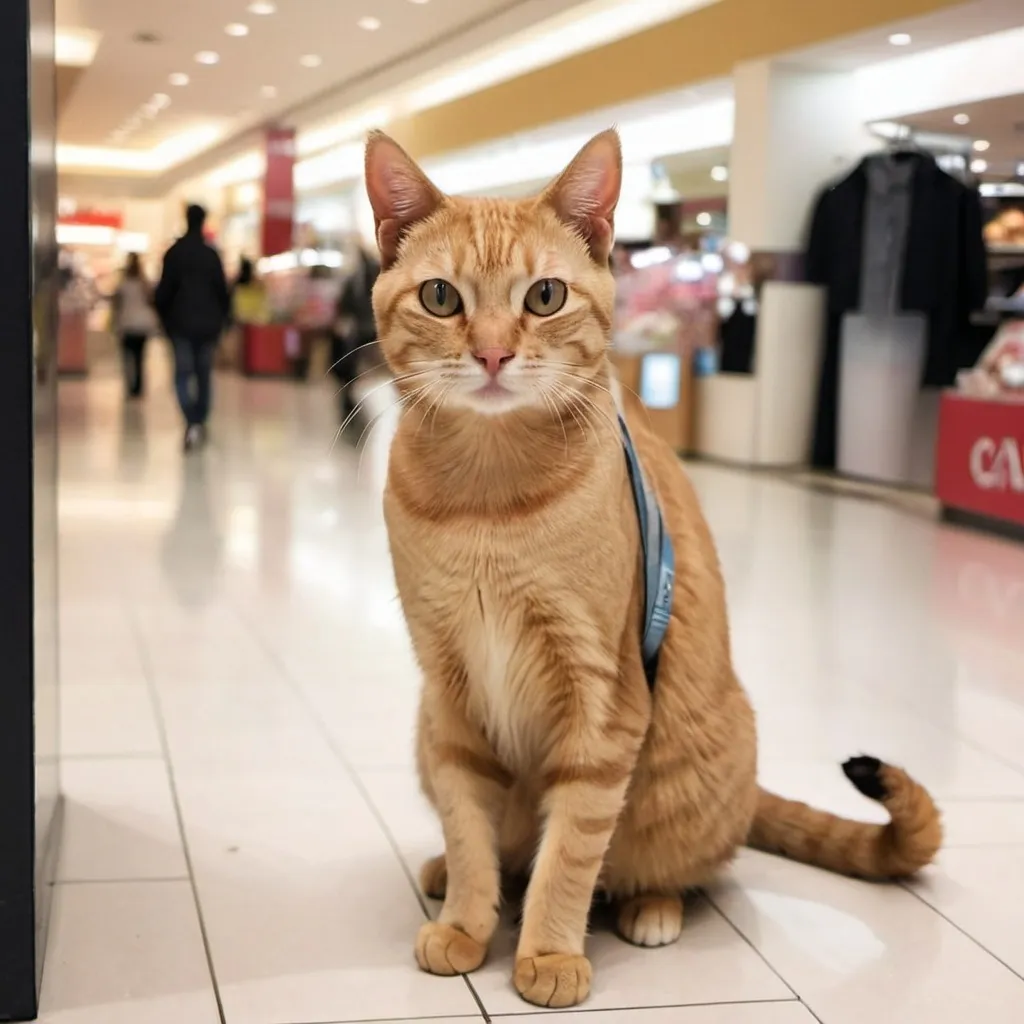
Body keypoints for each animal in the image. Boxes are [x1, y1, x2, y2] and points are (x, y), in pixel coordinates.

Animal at [362, 128, 942, 1007]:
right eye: (440, 298)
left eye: (543, 297)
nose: (493, 353)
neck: (488, 503)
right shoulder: (449, 692)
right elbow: (468, 828)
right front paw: (467, 917)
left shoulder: (603, 700)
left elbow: (571, 850)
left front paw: (549, 951)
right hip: (424, 730)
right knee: (503, 846)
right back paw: (450, 875)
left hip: (682, 767)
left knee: (676, 867)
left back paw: (652, 907)